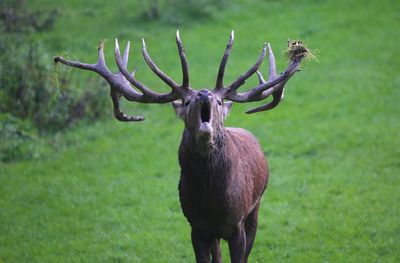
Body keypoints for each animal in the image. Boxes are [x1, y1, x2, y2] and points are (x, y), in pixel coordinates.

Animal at [53, 31, 310, 263]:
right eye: (186, 101)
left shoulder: (237, 223)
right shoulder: (196, 227)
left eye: (219, 101)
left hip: (255, 208)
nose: (204, 94)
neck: (212, 200)